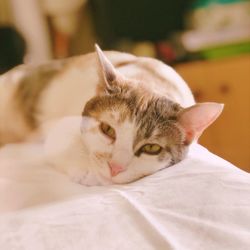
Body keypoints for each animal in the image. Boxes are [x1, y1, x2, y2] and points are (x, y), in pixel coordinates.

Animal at [0, 45, 223, 186]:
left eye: (151, 148)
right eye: (107, 130)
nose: (115, 168)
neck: (150, 78)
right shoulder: (54, 125)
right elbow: (61, 136)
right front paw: (87, 168)